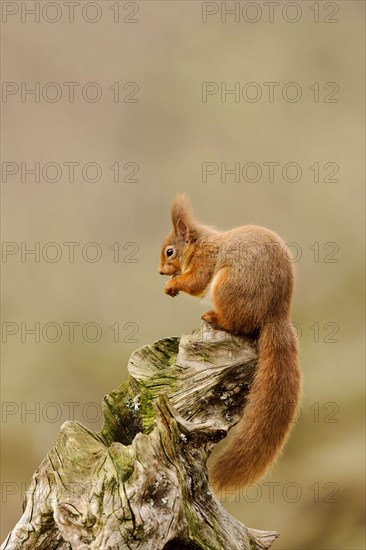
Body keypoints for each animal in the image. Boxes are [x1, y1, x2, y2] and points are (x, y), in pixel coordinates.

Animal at [159, 196, 302, 494]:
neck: (200, 244)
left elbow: (196, 281)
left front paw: (173, 284)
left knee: (236, 324)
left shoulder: (205, 263)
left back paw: (214, 317)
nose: (160, 271)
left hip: (227, 286)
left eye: (169, 251)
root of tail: (275, 315)